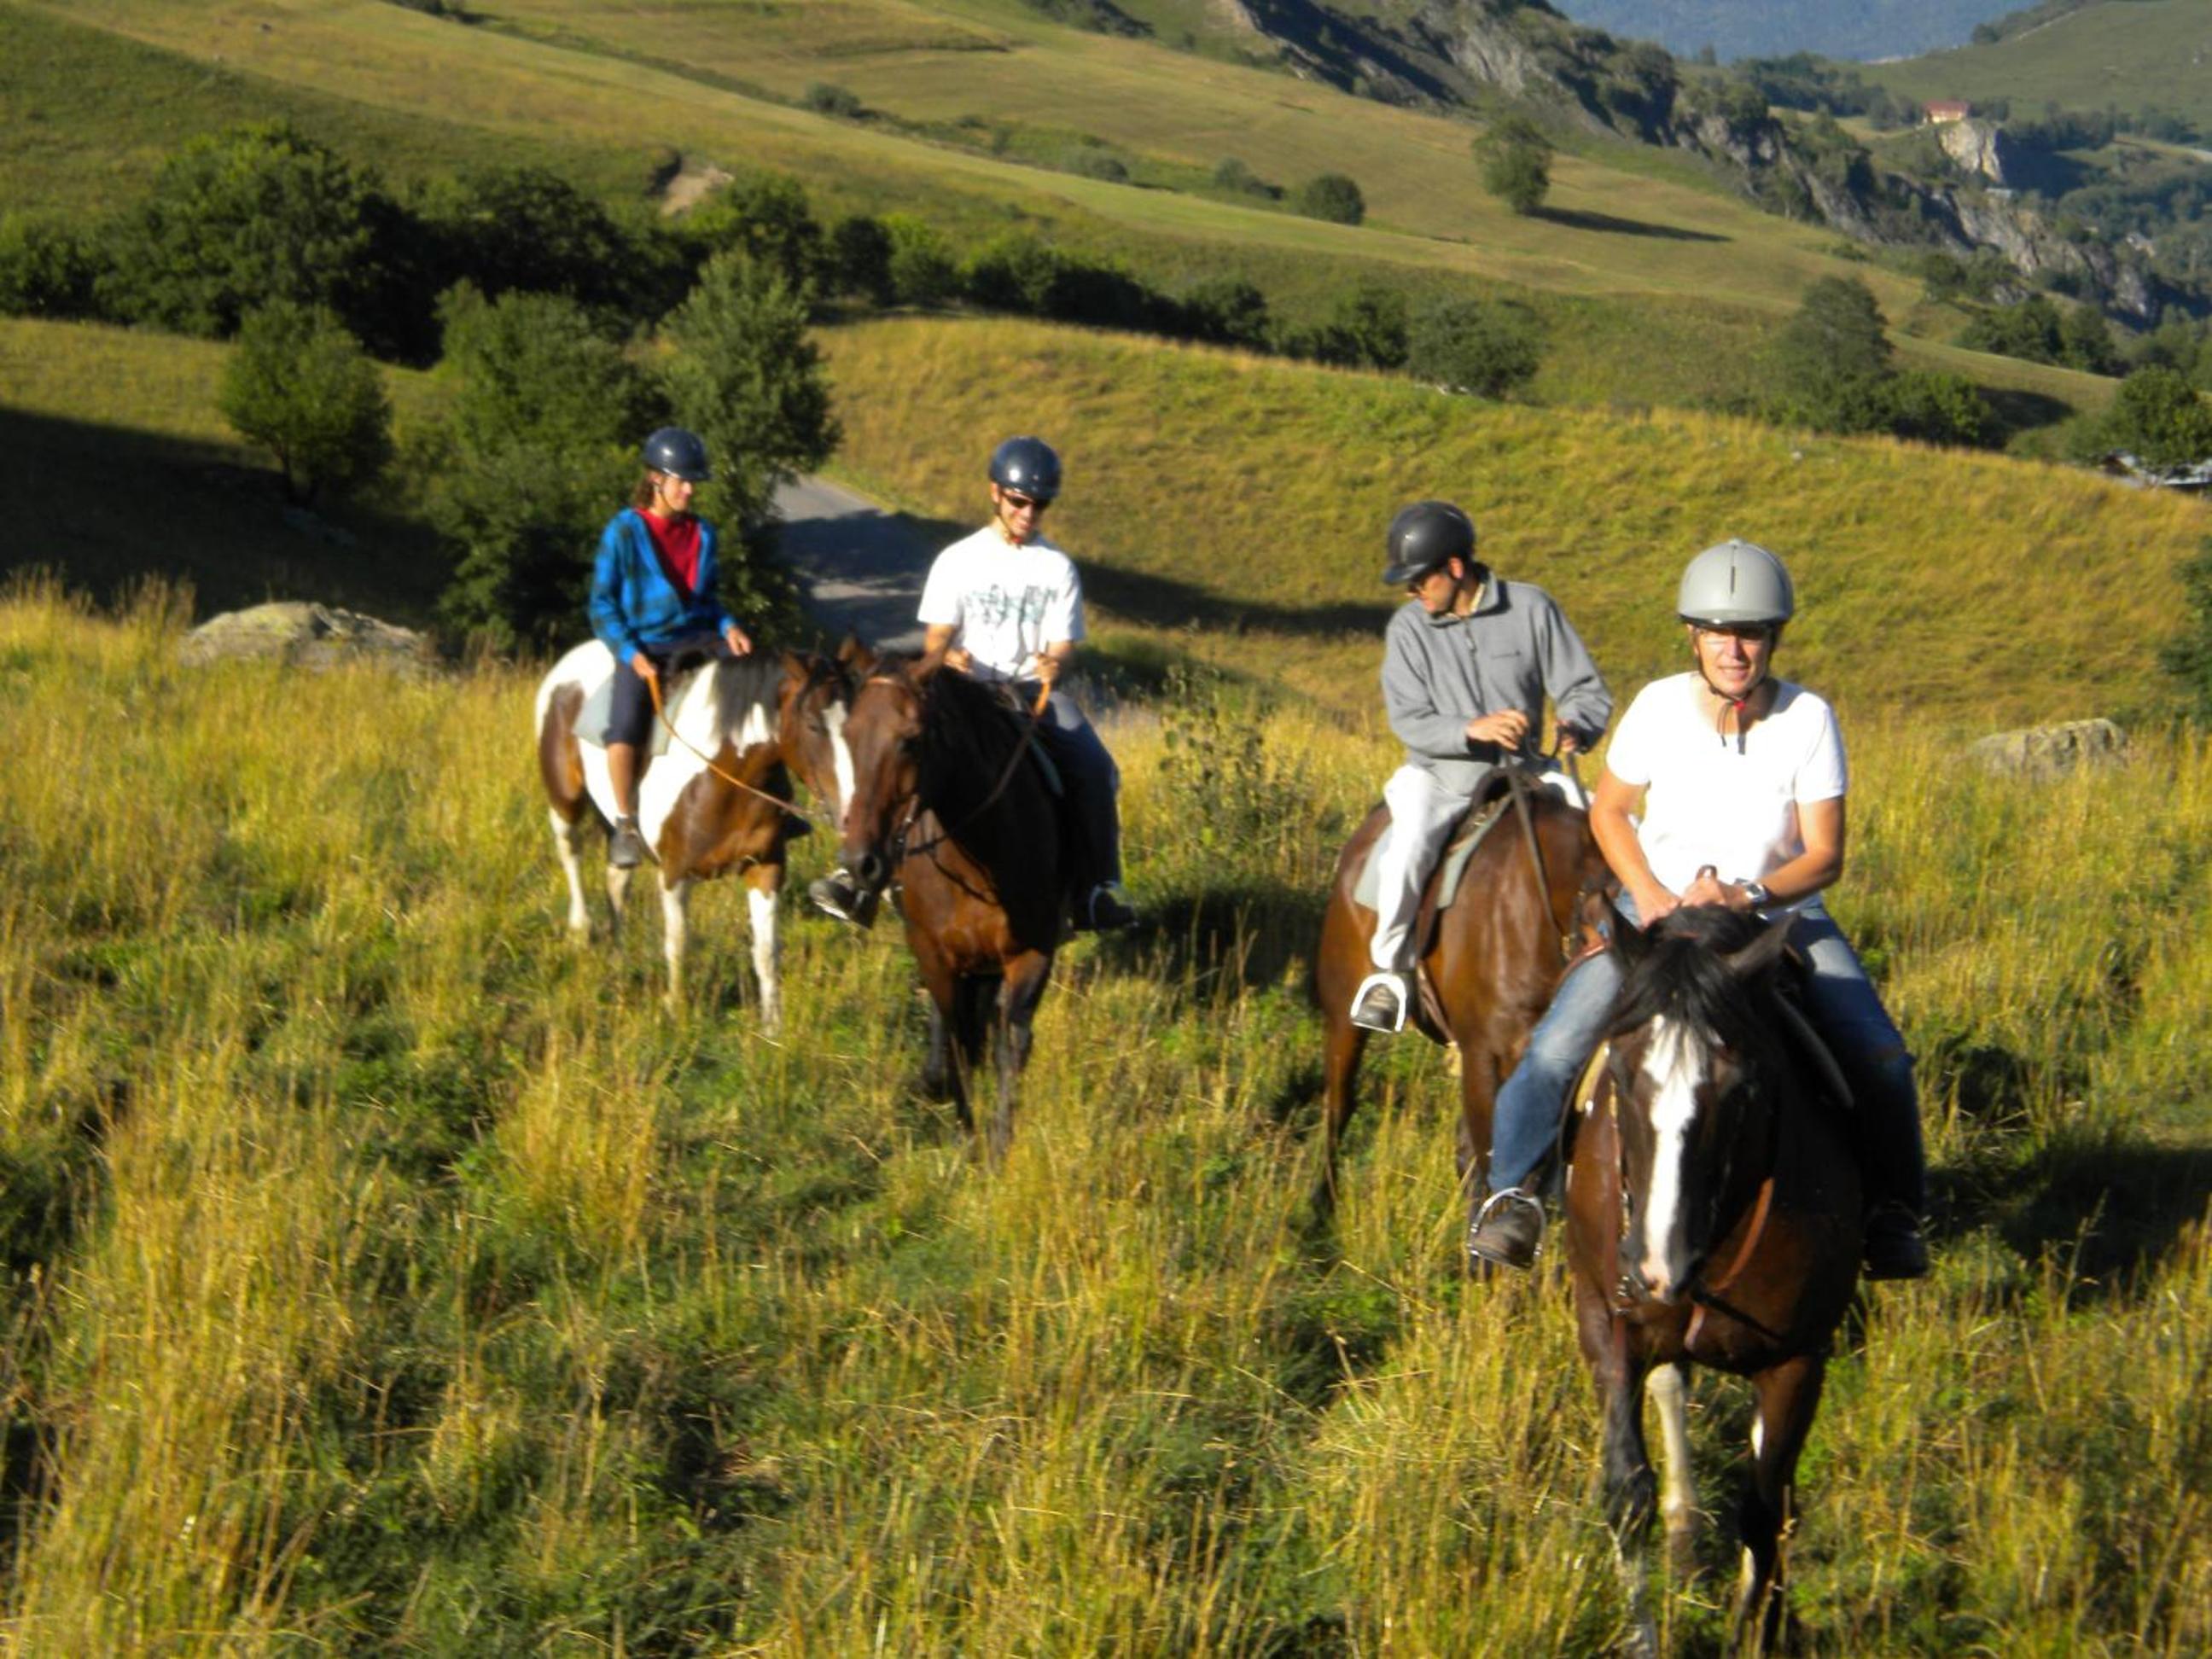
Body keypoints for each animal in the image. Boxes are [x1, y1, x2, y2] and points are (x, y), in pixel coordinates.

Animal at [533, 641, 854, 1029]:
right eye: (813, 725)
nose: (847, 810)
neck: (723, 774)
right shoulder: (675, 875)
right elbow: (678, 942)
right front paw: (675, 1010)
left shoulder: (766, 867)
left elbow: (766, 951)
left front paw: (772, 1024)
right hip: (564, 801)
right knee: (571, 854)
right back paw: (580, 930)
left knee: (617, 879)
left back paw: (618, 954)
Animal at [833, 652, 1067, 1160]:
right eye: (848, 735)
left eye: (912, 740)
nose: (861, 863)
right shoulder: (933, 955)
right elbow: (958, 1043)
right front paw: (965, 1131)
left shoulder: (1032, 952)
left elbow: (1010, 1042)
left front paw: (998, 1143)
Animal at [1563, 906, 1863, 1656]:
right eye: (1621, 1073)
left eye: (1741, 1087)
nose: (1656, 1266)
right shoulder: (1606, 1321)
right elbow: (1626, 1492)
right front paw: (1643, 1635)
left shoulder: (1799, 1358)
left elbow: (1765, 1512)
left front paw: (1754, 1631)